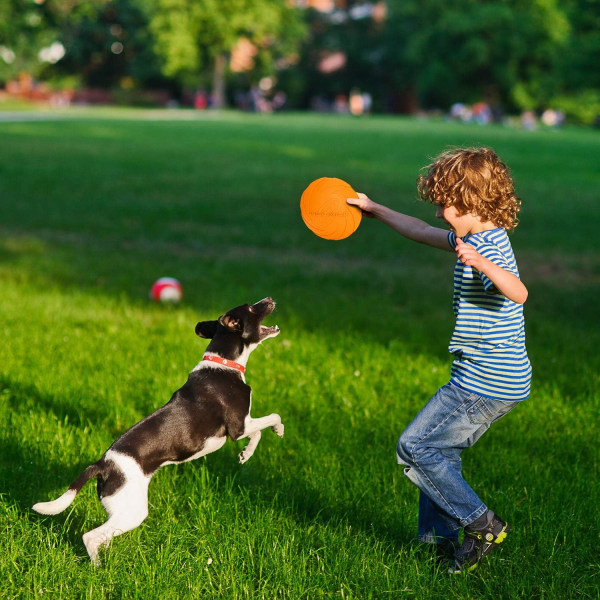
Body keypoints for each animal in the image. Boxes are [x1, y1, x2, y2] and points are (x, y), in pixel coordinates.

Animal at [32, 298, 284, 564]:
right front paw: (278, 430)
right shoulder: (238, 426)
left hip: (121, 510)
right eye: (251, 307)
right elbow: (271, 418)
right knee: (90, 536)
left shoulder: (243, 425)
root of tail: (102, 465)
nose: (269, 300)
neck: (224, 363)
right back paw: (98, 567)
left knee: (104, 536)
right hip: (133, 511)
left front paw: (246, 454)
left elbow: (257, 433)